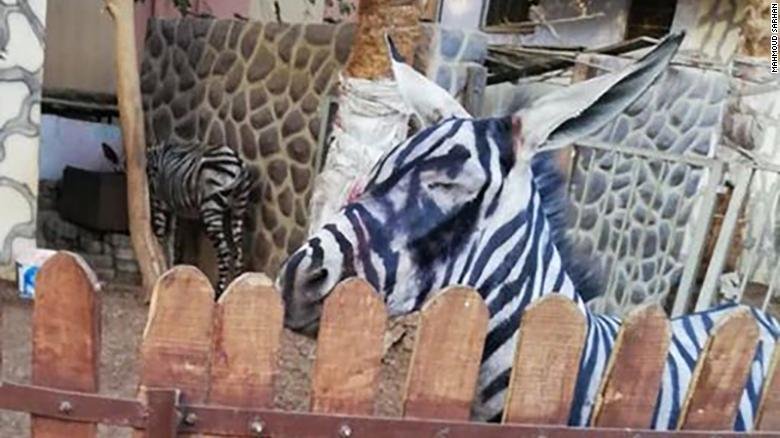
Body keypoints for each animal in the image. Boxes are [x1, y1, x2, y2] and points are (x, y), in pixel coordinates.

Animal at [147, 142, 253, 294]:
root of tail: (239, 163)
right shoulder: (172, 208)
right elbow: (171, 240)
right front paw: (169, 268)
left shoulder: (159, 201)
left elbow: (160, 235)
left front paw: (162, 269)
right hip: (239, 208)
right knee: (238, 253)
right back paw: (237, 286)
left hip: (211, 209)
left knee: (225, 253)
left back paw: (219, 291)